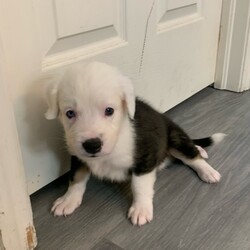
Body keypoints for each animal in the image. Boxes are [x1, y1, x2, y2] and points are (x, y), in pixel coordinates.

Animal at [45, 62, 227, 227]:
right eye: (70, 113)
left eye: (109, 110)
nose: (92, 145)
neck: (117, 141)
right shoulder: (77, 155)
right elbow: (76, 178)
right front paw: (68, 200)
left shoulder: (145, 157)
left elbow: (139, 186)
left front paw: (141, 210)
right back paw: (200, 150)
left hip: (175, 138)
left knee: (190, 156)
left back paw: (207, 170)